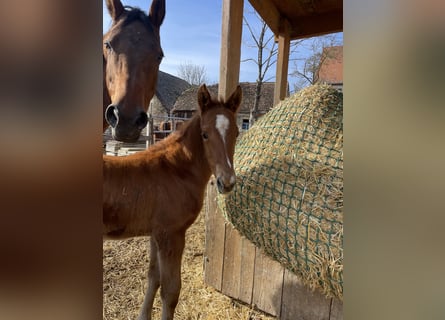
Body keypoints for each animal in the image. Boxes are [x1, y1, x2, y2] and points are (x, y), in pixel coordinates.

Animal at [103, 84, 243, 320]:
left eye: (237, 132)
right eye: (205, 134)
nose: (227, 182)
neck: (176, 170)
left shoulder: (155, 234)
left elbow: (153, 278)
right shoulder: (171, 235)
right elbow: (171, 292)